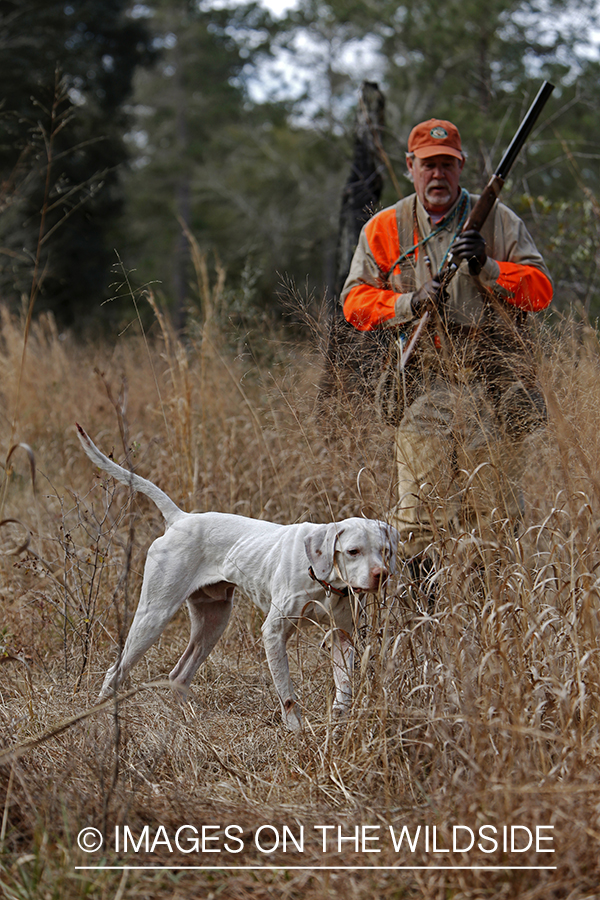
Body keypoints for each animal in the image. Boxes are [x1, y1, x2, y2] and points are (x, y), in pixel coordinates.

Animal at [78, 426, 398, 728]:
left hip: (213, 621)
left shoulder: (343, 636)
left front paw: (340, 722)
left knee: (179, 674)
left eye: (384, 551)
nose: (381, 575)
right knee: (115, 671)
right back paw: (99, 716)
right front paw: (296, 731)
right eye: (353, 551)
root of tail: (180, 518)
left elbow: (344, 689)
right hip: (154, 616)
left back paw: (188, 722)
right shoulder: (273, 633)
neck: (323, 579)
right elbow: (288, 695)